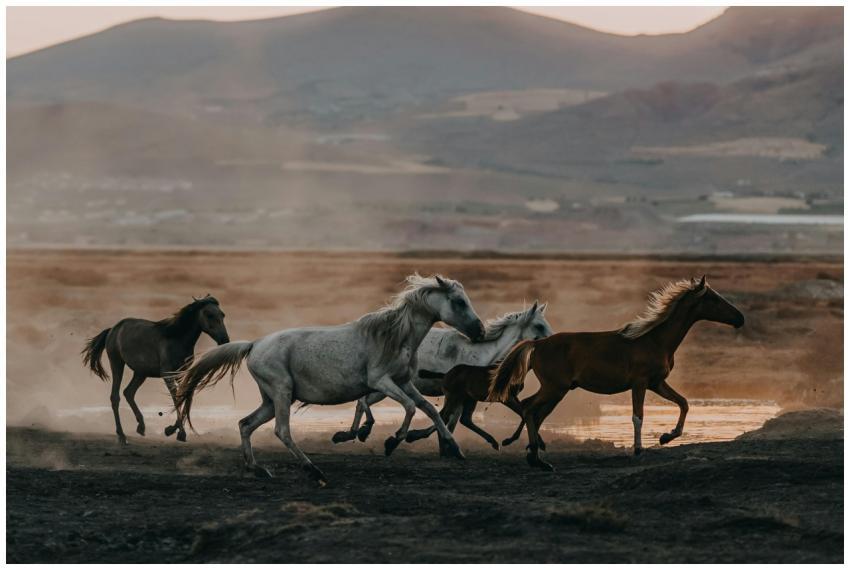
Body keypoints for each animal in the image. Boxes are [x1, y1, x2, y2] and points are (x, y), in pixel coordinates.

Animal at [81, 295, 230, 445]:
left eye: (222, 315)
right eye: (209, 315)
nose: (225, 340)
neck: (177, 338)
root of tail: (113, 329)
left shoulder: (182, 374)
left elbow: (186, 397)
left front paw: (172, 430)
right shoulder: (167, 375)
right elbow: (176, 397)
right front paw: (178, 432)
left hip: (140, 373)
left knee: (128, 392)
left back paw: (141, 427)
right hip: (117, 363)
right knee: (115, 396)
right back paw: (122, 435)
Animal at [173, 274, 485, 486]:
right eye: (459, 302)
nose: (480, 331)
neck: (394, 336)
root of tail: (253, 345)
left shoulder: (404, 382)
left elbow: (429, 409)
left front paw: (455, 448)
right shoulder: (381, 381)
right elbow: (409, 407)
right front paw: (392, 442)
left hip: (271, 399)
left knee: (246, 424)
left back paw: (257, 469)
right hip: (282, 393)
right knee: (282, 431)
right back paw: (313, 471)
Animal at [331, 302, 552, 445]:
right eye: (539, 325)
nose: (552, 342)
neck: (479, 354)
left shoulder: (462, 396)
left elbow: (449, 420)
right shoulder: (456, 394)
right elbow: (447, 418)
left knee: (362, 402)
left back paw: (354, 433)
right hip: (383, 388)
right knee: (362, 402)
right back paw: (359, 431)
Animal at [488, 276, 744, 471]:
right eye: (712, 298)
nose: (740, 318)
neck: (655, 340)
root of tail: (537, 343)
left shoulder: (657, 383)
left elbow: (684, 403)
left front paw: (666, 436)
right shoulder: (640, 383)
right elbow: (638, 416)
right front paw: (639, 449)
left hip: (557, 391)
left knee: (534, 412)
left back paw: (534, 455)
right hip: (554, 388)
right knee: (529, 408)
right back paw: (532, 455)